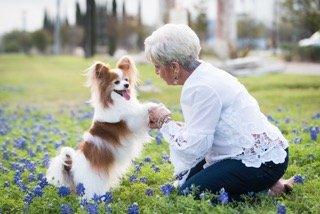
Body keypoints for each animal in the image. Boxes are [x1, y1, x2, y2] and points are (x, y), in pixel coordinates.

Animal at [46, 56, 158, 199]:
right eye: (117, 82)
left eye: (126, 80)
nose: (126, 85)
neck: (117, 102)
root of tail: (72, 170)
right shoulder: (130, 122)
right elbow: (142, 111)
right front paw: (154, 106)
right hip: (92, 183)